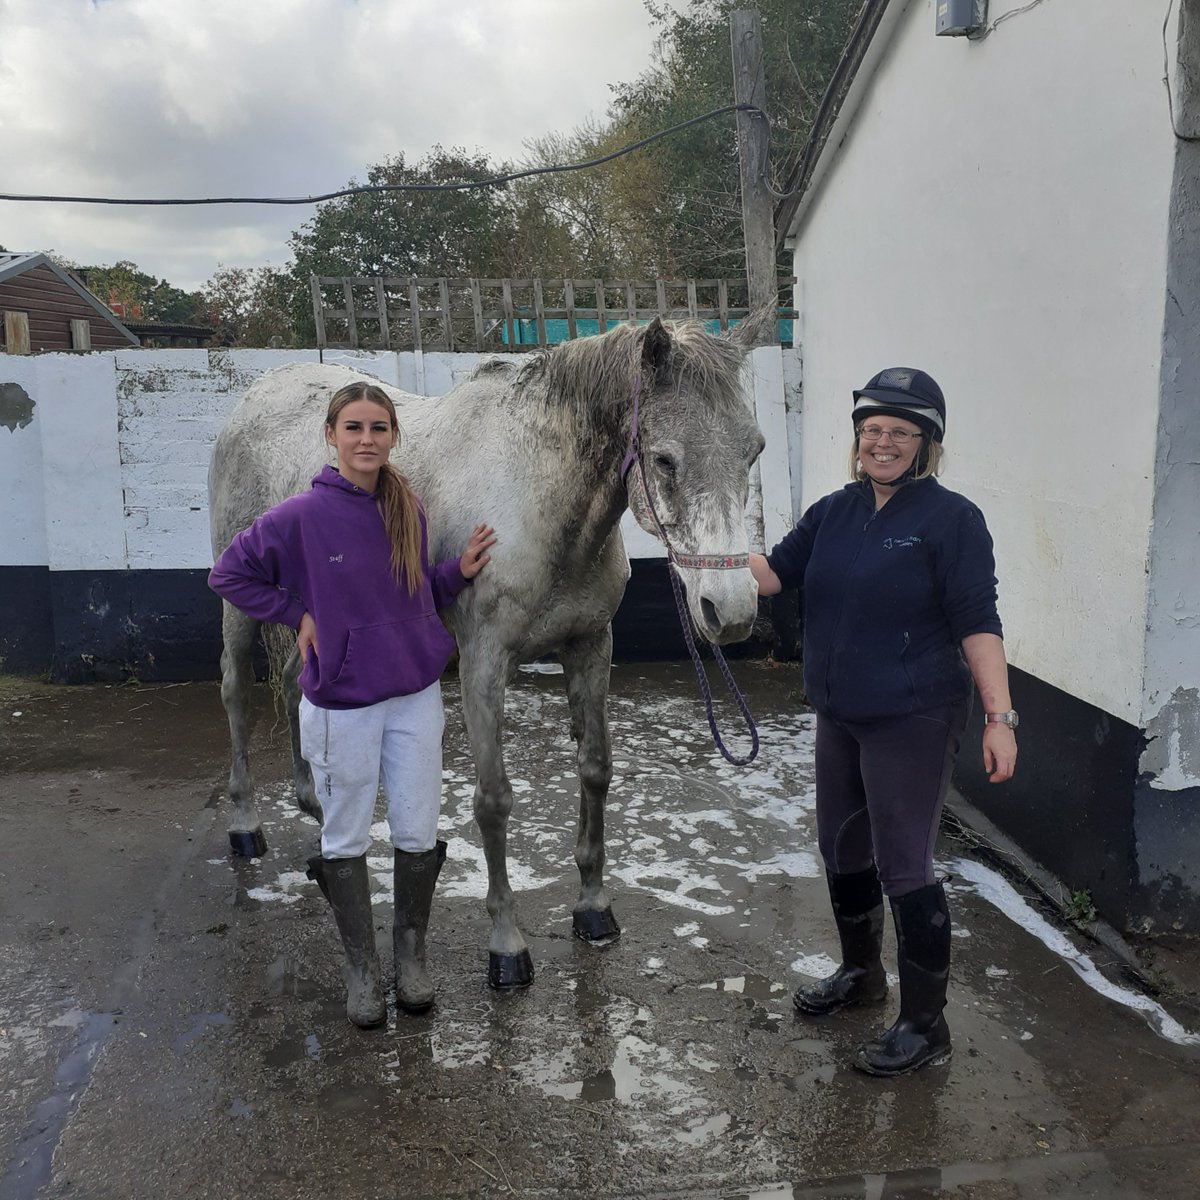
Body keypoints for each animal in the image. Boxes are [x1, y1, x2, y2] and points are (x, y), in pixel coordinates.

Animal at [205, 314, 763, 988]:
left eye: (754, 451)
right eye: (664, 459)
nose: (730, 611)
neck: (540, 504)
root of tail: (256, 396)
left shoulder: (590, 648)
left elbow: (596, 771)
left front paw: (593, 907)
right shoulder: (483, 662)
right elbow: (493, 800)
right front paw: (506, 945)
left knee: (293, 687)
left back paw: (315, 806)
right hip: (237, 598)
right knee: (237, 692)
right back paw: (245, 825)